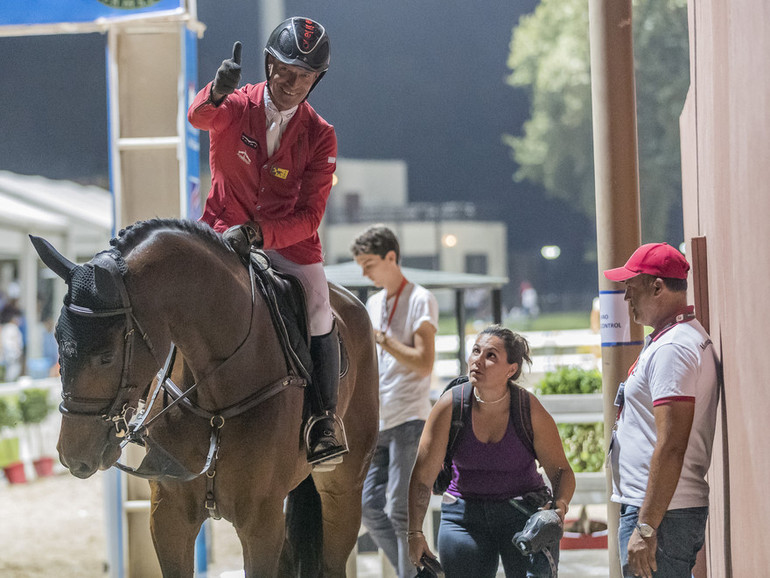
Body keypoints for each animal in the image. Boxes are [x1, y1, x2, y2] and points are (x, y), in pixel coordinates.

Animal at [30, 218, 378, 572]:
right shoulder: (169, 516)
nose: (72, 455)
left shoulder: (261, 523)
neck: (215, 402)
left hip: (343, 492)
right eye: (56, 338)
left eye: (106, 356)